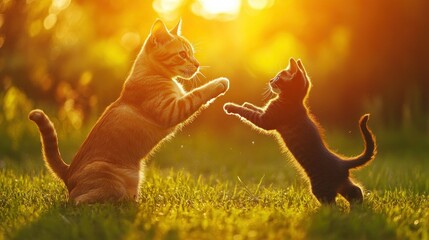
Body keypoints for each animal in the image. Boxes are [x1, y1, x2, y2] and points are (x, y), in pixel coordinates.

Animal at [28, 18, 229, 203]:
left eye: (192, 53)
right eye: (182, 54)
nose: (197, 64)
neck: (152, 74)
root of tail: (68, 171)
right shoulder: (171, 109)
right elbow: (198, 94)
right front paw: (220, 83)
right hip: (108, 183)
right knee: (77, 201)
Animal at [224, 58, 374, 204]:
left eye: (278, 77)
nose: (271, 80)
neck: (291, 100)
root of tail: (342, 162)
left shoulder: (266, 120)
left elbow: (249, 113)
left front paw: (231, 106)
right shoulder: (266, 113)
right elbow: (256, 108)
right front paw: (246, 104)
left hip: (321, 189)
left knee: (332, 203)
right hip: (342, 184)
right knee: (356, 191)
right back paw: (357, 208)